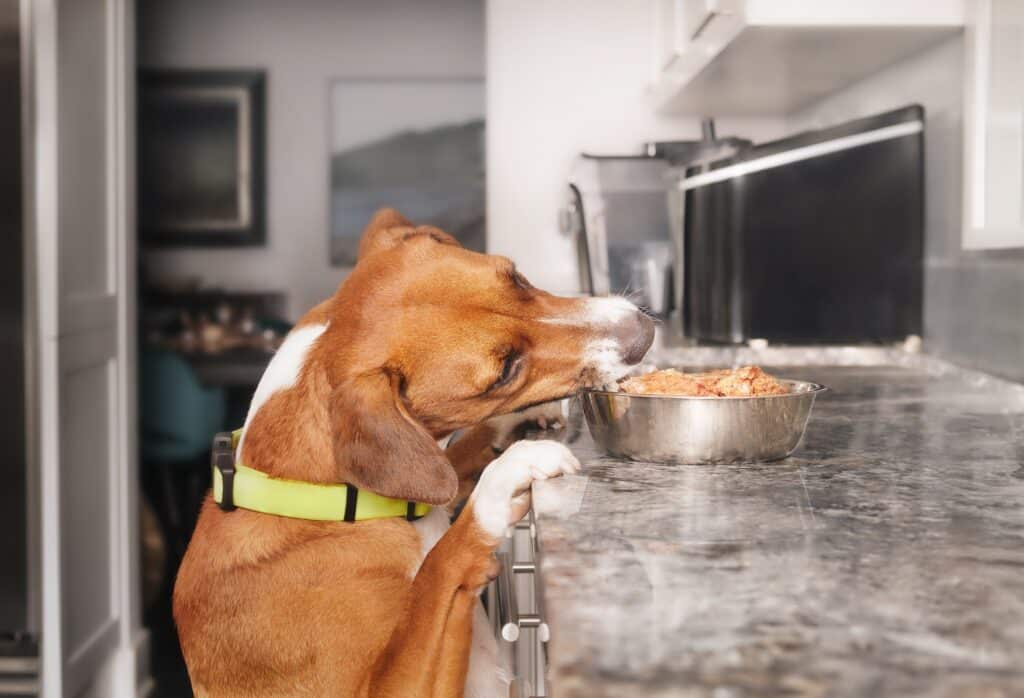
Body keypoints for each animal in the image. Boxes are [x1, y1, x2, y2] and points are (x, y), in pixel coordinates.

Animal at [174, 207, 655, 695]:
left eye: (517, 278)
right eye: (504, 371)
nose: (645, 331)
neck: (330, 505)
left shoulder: (430, 478)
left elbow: (448, 472)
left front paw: (516, 426)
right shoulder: (383, 688)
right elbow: (437, 572)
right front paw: (501, 482)